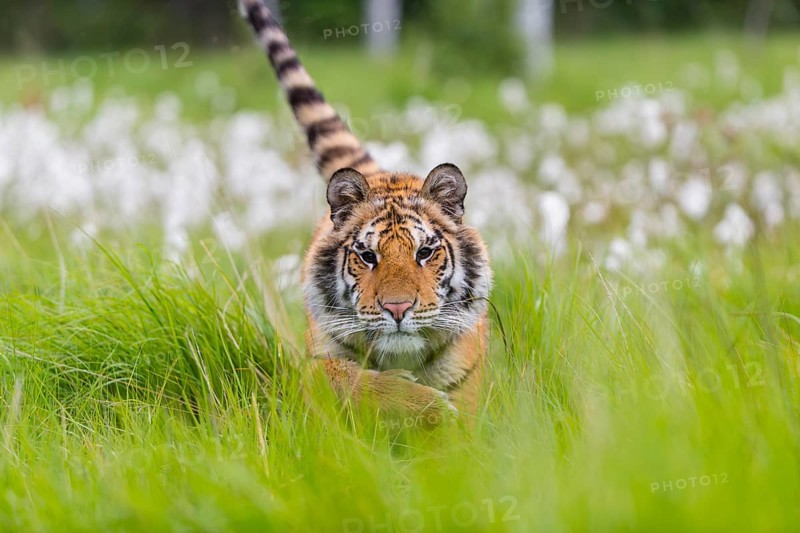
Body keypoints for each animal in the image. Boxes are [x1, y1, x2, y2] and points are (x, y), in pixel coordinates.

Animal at [239, 0, 492, 424]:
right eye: (368, 256)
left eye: (425, 252)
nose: (397, 308)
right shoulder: (313, 367)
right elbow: (353, 381)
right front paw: (429, 406)